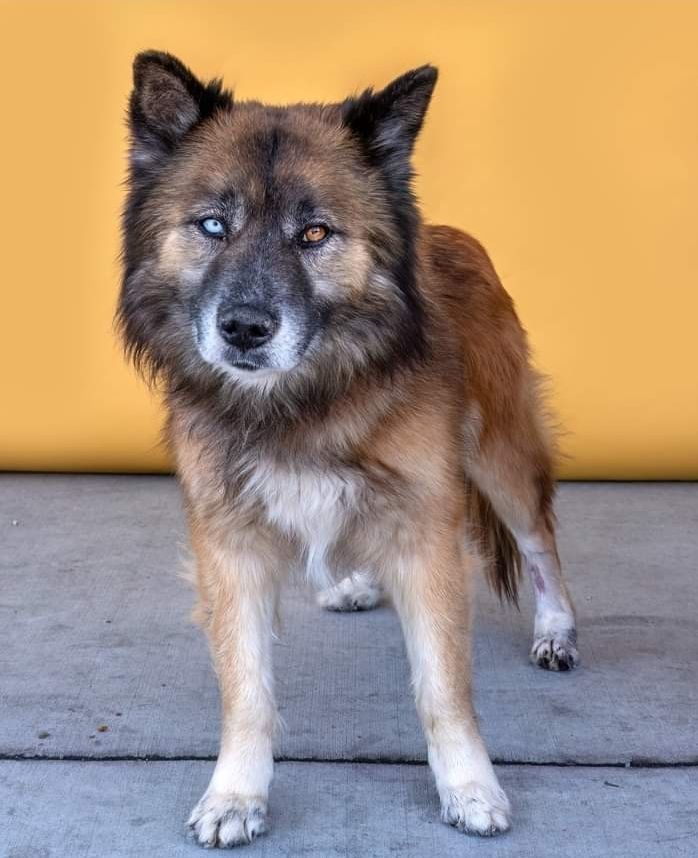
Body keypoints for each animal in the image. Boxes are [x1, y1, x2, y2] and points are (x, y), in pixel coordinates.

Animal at [118, 50, 576, 844]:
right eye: (213, 224)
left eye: (314, 234)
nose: (244, 329)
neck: (303, 400)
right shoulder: (227, 541)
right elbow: (246, 689)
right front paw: (236, 795)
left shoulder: (426, 529)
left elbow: (443, 685)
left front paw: (469, 785)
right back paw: (350, 579)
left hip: (502, 455)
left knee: (539, 539)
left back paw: (557, 629)